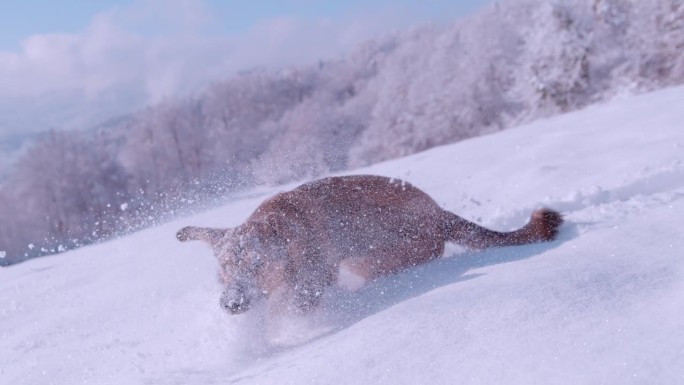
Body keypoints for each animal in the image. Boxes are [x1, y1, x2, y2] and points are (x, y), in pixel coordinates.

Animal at [176, 174, 560, 316]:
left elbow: (299, 301)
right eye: (224, 270)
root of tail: (439, 213)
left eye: (257, 264)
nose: (231, 304)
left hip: (372, 259)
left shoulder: (316, 280)